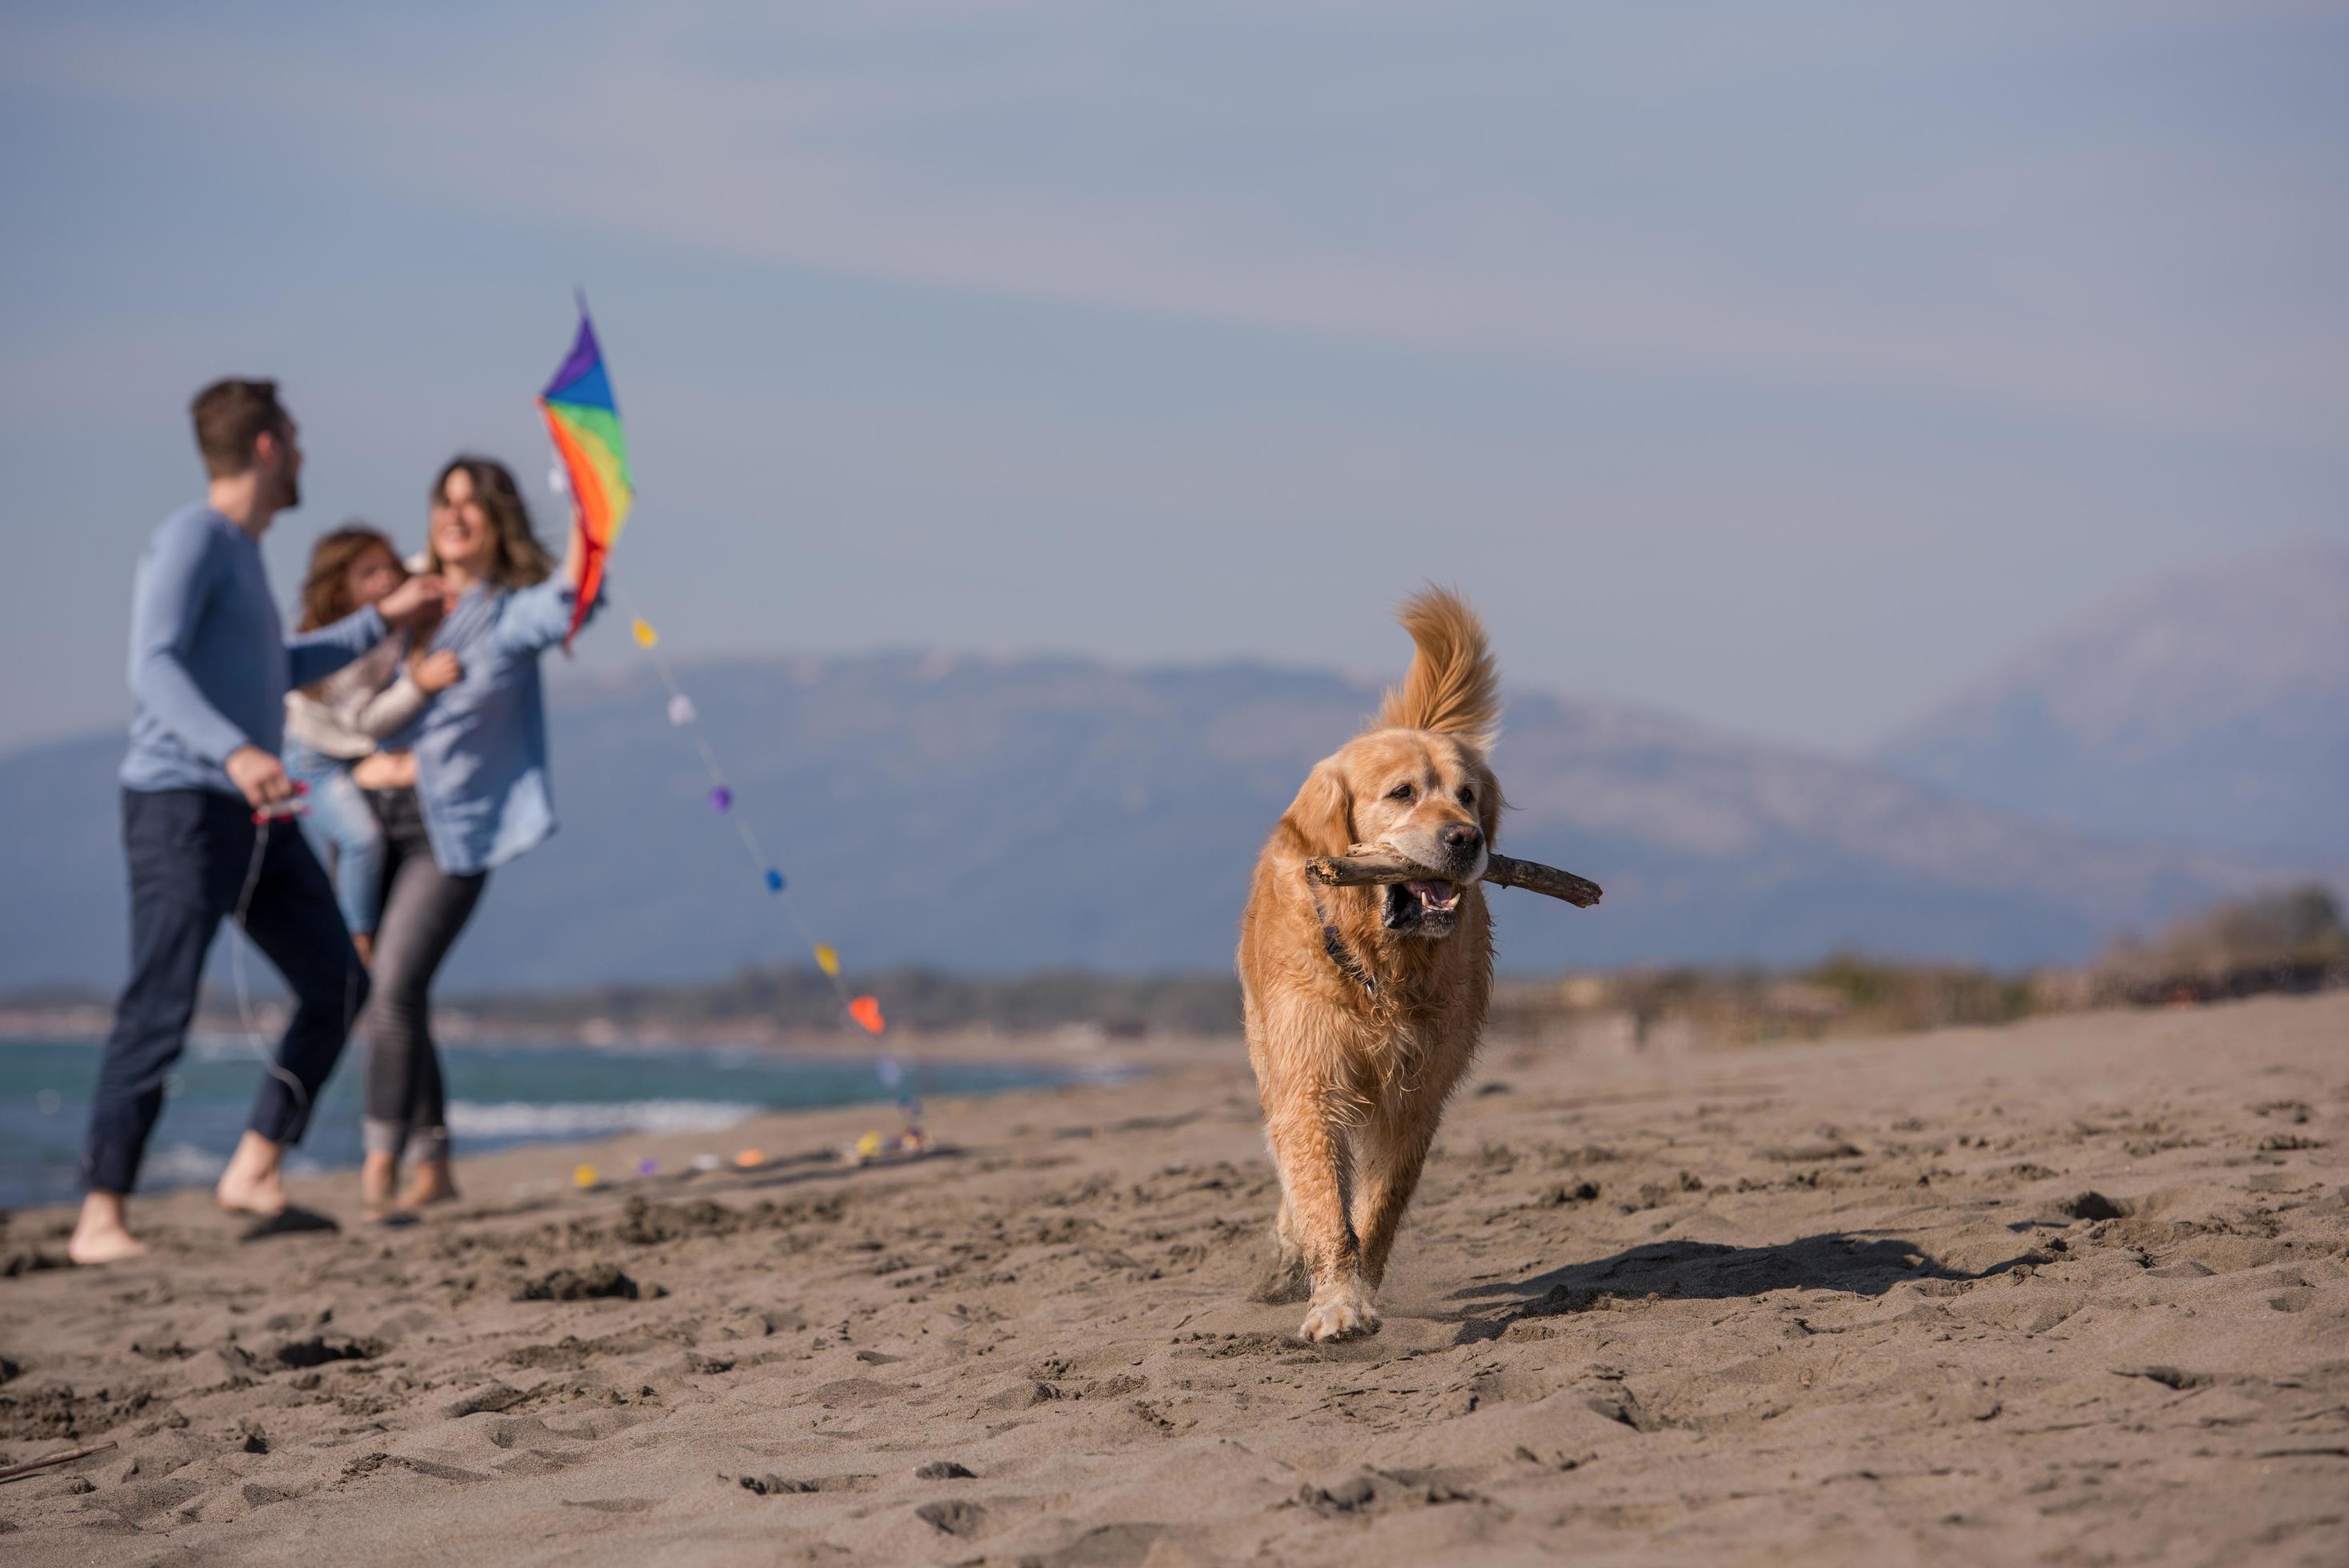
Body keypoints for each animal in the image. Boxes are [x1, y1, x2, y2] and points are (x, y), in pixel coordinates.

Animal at [1231, 586, 1503, 1352]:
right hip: (1269, 1051)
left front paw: (1359, 1284)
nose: (1466, 838)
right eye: (1402, 792)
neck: (1382, 970)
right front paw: (1337, 1302)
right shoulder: (1310, 1076)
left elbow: (1377, 1207)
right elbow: (1324, 1198)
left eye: (1466, 794)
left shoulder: (1416, 1095)